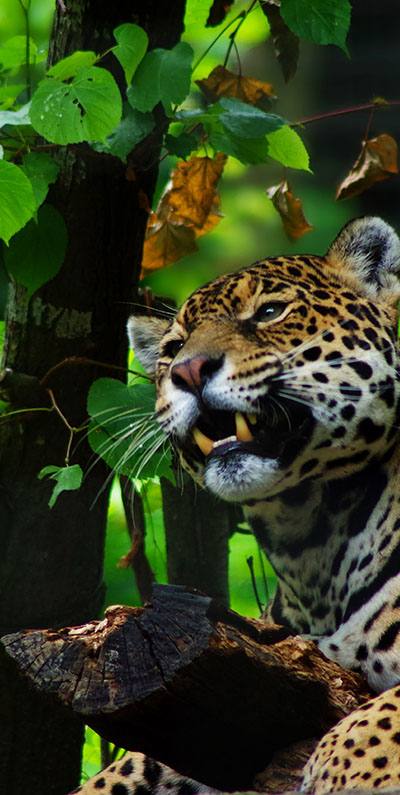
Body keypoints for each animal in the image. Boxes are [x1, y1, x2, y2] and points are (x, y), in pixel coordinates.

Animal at [73, 217, 400, 795]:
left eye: (270, 313)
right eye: (174, 347)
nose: (188, 371)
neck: (308, 540)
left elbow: (376, 718)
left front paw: (342, 772)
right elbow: (131, 764)